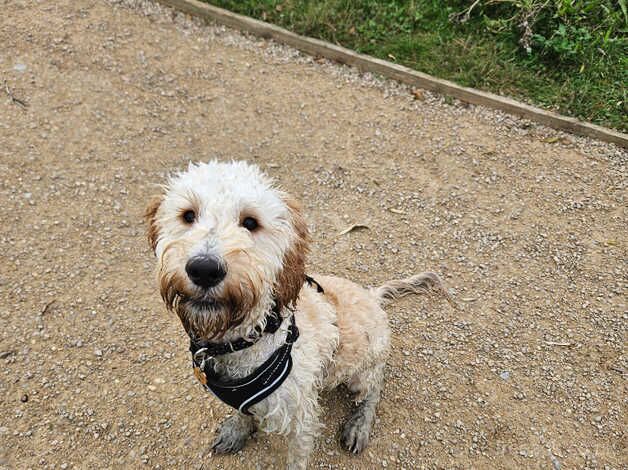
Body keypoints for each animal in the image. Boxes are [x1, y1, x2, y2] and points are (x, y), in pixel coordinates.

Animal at [146, 160, 452, 468]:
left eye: (250, 222)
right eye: (188, 215)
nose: (204, 269)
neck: (248, 338)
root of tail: (372, 295)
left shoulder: (300, 417)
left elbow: (297, 457)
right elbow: (243, 412)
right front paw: (237, 429)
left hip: (360, 373)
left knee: (374, 390)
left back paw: (359, 425)